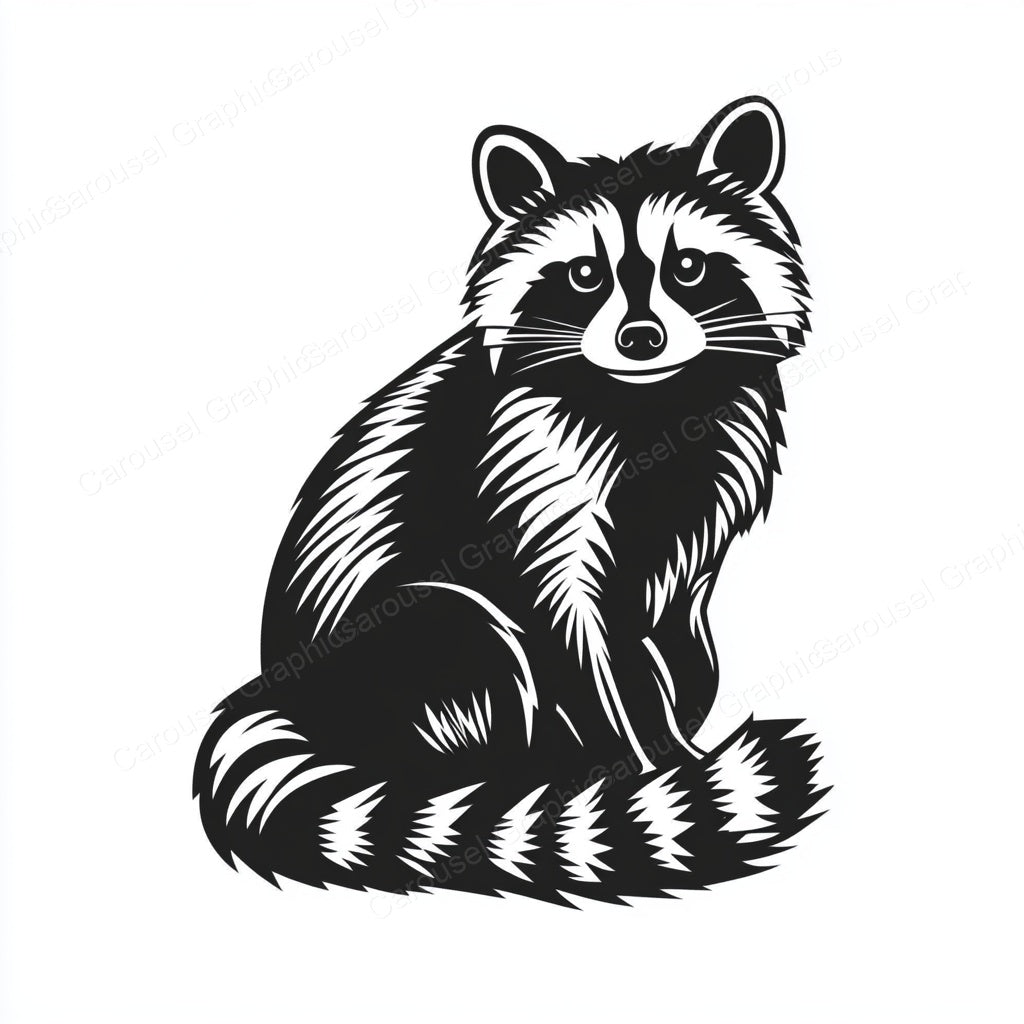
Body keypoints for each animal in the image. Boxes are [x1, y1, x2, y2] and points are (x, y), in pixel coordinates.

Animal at [193, 97, 825, 905]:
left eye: (686, 266)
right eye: (585, 275)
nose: (641, 337)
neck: (647, 403)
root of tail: (285, 694)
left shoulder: (697, 501)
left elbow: (676, 637)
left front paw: (677, 739)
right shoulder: (526, 477)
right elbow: (571, 634)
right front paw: (642, 766)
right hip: (403, 653)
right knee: (466, 626)